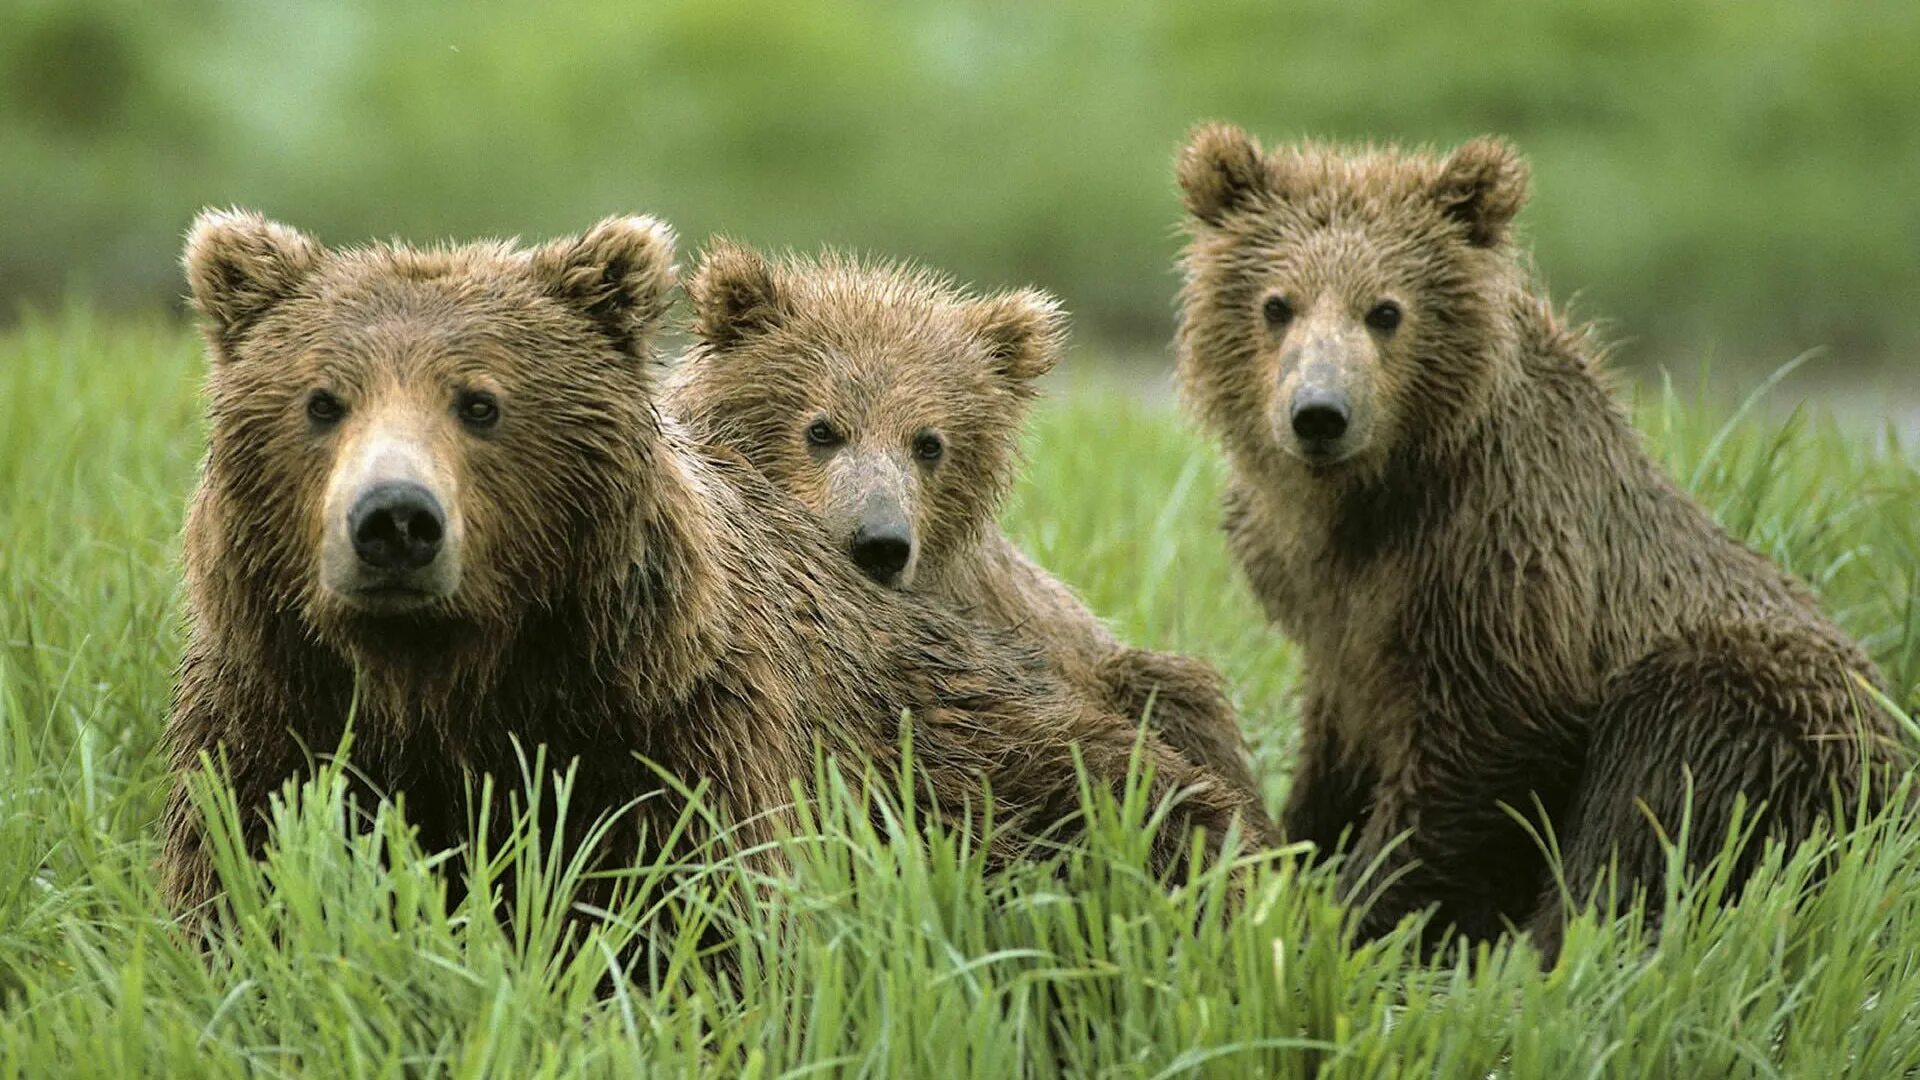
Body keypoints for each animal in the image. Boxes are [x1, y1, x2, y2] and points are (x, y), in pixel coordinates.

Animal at [1167, 125, 1904, 957]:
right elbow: (1336, 747)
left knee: (1655, 798)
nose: (1320, 413)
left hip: (1763, 708)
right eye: (1276, 304)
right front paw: (1295, 852)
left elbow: (1479, 759)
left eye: (1385, 309)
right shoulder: (1328, 611)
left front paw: (1353, 912)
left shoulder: (1501, 561)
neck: (1366, 505)